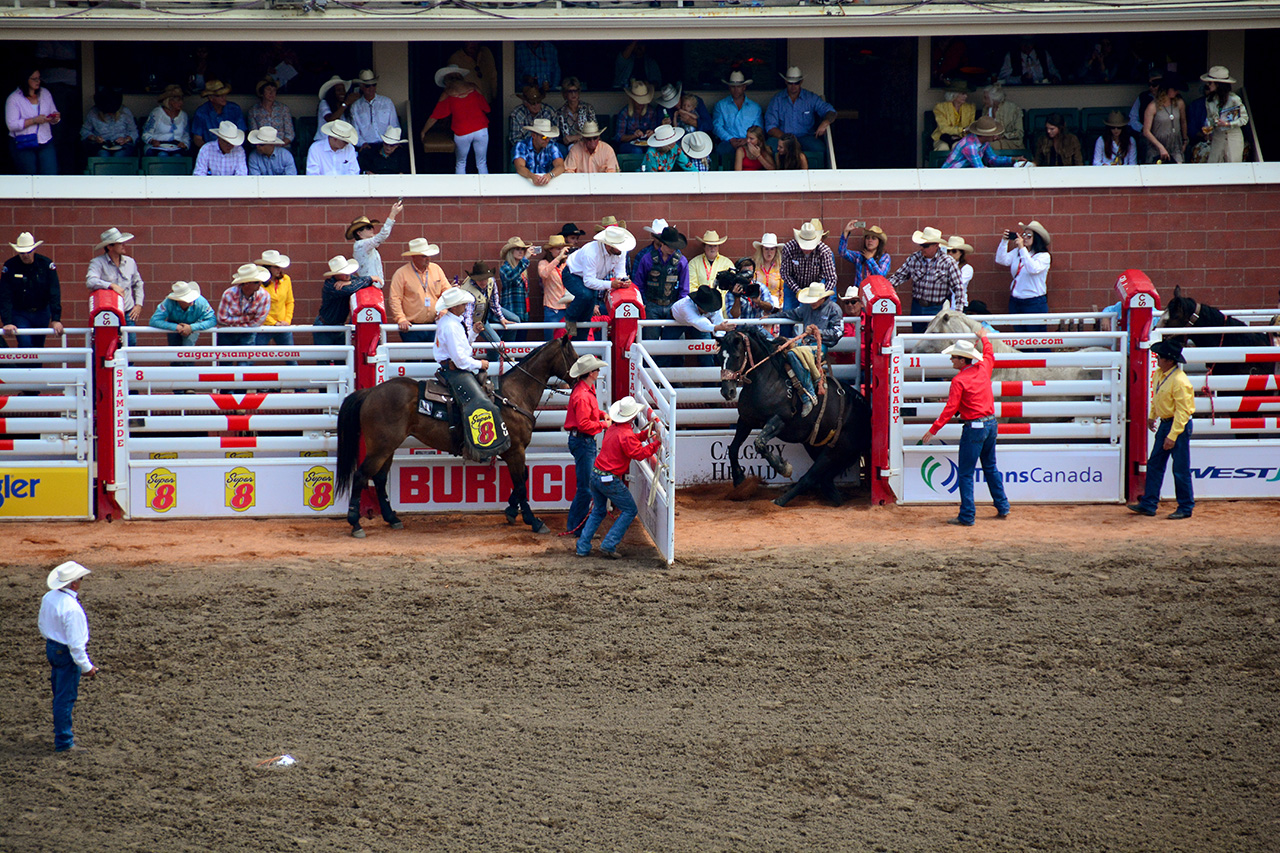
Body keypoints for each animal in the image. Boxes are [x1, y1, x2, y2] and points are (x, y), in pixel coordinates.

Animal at [337, 335, 583, 535]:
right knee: (361, 476)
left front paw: (512, 511)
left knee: (379, 479)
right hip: (380, 448)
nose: (581, 380)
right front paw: (534, 521)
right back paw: (355, 523)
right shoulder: (515, 450)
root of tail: (370, 392)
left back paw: (392, 518)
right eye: (573, 356)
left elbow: (524, 476)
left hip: (388, 447)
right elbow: (522, 484)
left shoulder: (514, 452)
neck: (513, 395)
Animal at [721, 322, 870, 502]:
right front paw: (738, 479)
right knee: (825, 481)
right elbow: (733, 448)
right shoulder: (745, 420)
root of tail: (865, 408)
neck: (766, 379)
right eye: (719, 357)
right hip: (817, 447)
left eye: (736, 356)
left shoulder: (779, 420)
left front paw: (784, 467)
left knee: (810, 478)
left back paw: (780, 500)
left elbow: (760, 443)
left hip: (837, 450)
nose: (727, 391)